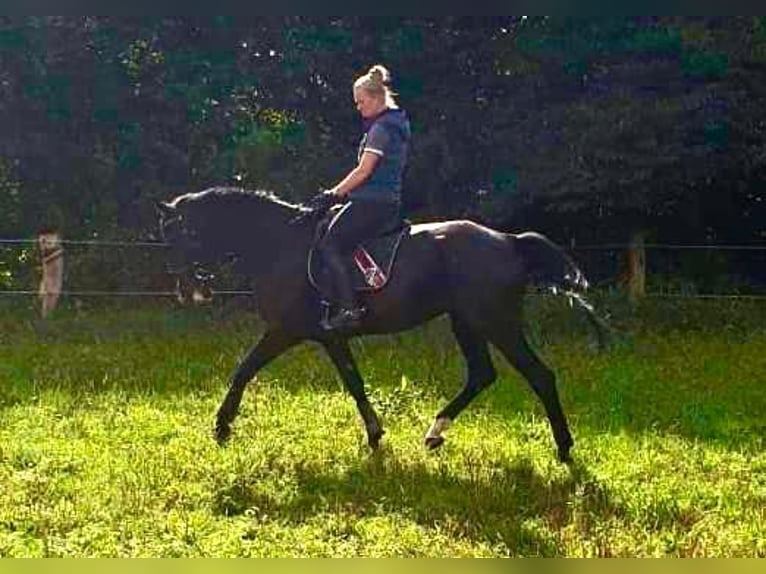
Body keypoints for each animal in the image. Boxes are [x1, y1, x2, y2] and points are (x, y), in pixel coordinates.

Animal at [157, 187, 609, 463]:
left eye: (179, 236)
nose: (187, 292)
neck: (278, 244)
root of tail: (509, 241)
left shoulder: (287, 330)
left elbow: (244, 369)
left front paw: (221, 426)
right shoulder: (328, 336)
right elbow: (354, 382)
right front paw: (375, 435)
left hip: (496, 321)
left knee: (539, 375)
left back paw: (564, 449)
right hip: (466, 322)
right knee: (482, 374)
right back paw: (435, 433)